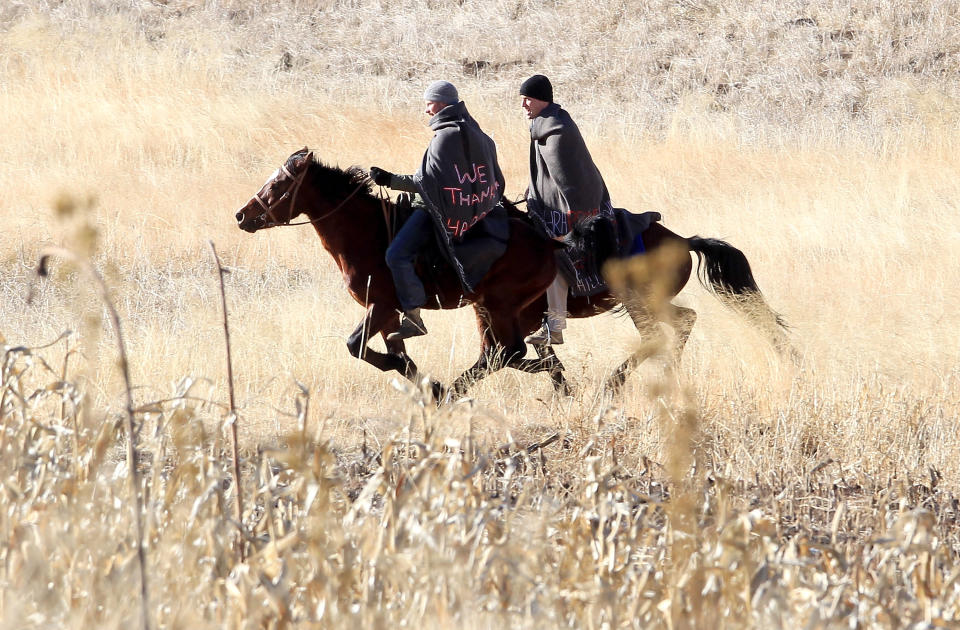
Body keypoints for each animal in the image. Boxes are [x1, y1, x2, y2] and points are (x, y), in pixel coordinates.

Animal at [234, 150, 788, 400]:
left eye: (279, 185)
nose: (242, 215)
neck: (370, 232)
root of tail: (680, 239)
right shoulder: (396, 311)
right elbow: (388, 350)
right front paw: (417, 376)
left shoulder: (384, 304)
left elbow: (358, 346)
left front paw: (422, 380)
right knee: (679, 324)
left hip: (618, 302)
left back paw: (612, 383)